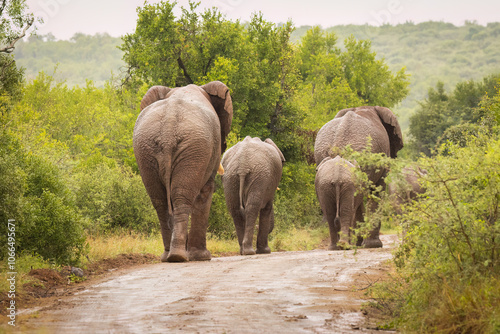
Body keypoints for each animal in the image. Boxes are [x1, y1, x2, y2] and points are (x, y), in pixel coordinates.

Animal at [134, 81, 233, 264]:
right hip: (194, 148)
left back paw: (169, 256)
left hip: (146, 149)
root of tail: (168, 127)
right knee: (182, 197)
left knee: (161, 201)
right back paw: (179, 256)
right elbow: (205, 192)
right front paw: (202, 257)